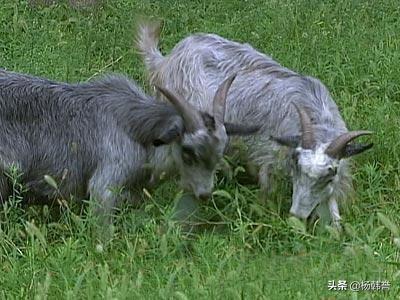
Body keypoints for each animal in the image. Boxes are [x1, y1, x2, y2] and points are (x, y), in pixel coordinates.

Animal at [137, 21, 372, 227]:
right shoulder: (269, 159)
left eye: (330, 175)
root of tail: (165, 61)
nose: (297, 215)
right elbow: (266, 195)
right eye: (296, 165)